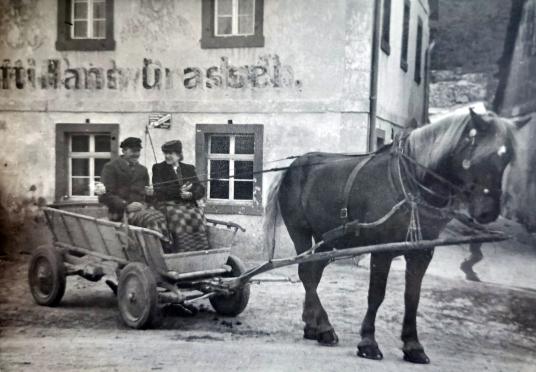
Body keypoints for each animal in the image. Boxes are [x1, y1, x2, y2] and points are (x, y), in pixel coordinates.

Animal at [264, 107, 528, 364]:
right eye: (479, 156)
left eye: (506, 158)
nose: (488, 212)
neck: (411, 184)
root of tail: (292, 167)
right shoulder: (382, 250)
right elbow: (376, 295)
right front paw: (368, 343)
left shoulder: (421, 253)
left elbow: (412, 298)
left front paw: (413, 347)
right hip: (300, 231)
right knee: (307, 274)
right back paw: (325, 328)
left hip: (328, 239)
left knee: (314, 272)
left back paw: (313, 326)